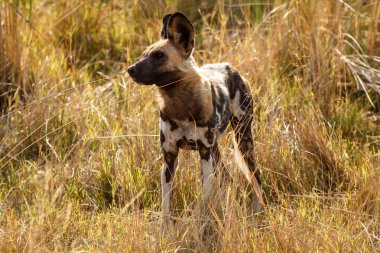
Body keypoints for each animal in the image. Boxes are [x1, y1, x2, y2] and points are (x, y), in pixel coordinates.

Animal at [127, 11, 262, 226]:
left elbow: (204, 199)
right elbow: (166, 204)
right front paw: (166, 229)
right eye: (143, 55)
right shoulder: (169, 156)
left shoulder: (204, 153)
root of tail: (230, 68)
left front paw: (203, 223)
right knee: (227, 177)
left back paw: (258, 211)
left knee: (256, 176)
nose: (130, 69)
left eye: (159, 56)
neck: (180, 105)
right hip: (216, 149)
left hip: (243, 140)